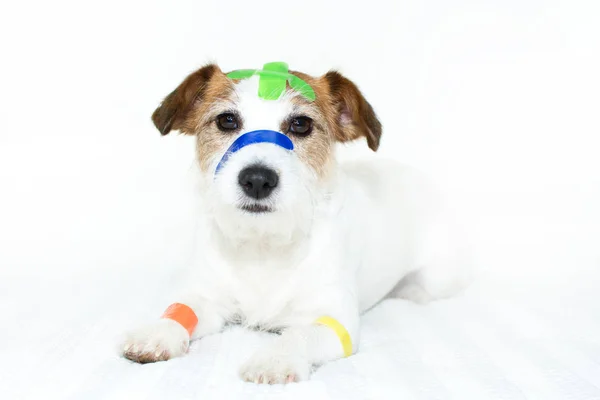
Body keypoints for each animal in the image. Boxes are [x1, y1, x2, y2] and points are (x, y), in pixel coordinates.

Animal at [119, 62, 472, 384]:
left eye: (301, 124)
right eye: (227, 120)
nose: (257, 179)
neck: (263, 246)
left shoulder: (334, 318)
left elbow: (299, 335)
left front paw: (275, 358)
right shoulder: (206, 295)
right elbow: (181, 309)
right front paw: (158, 332)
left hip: (435, 280)